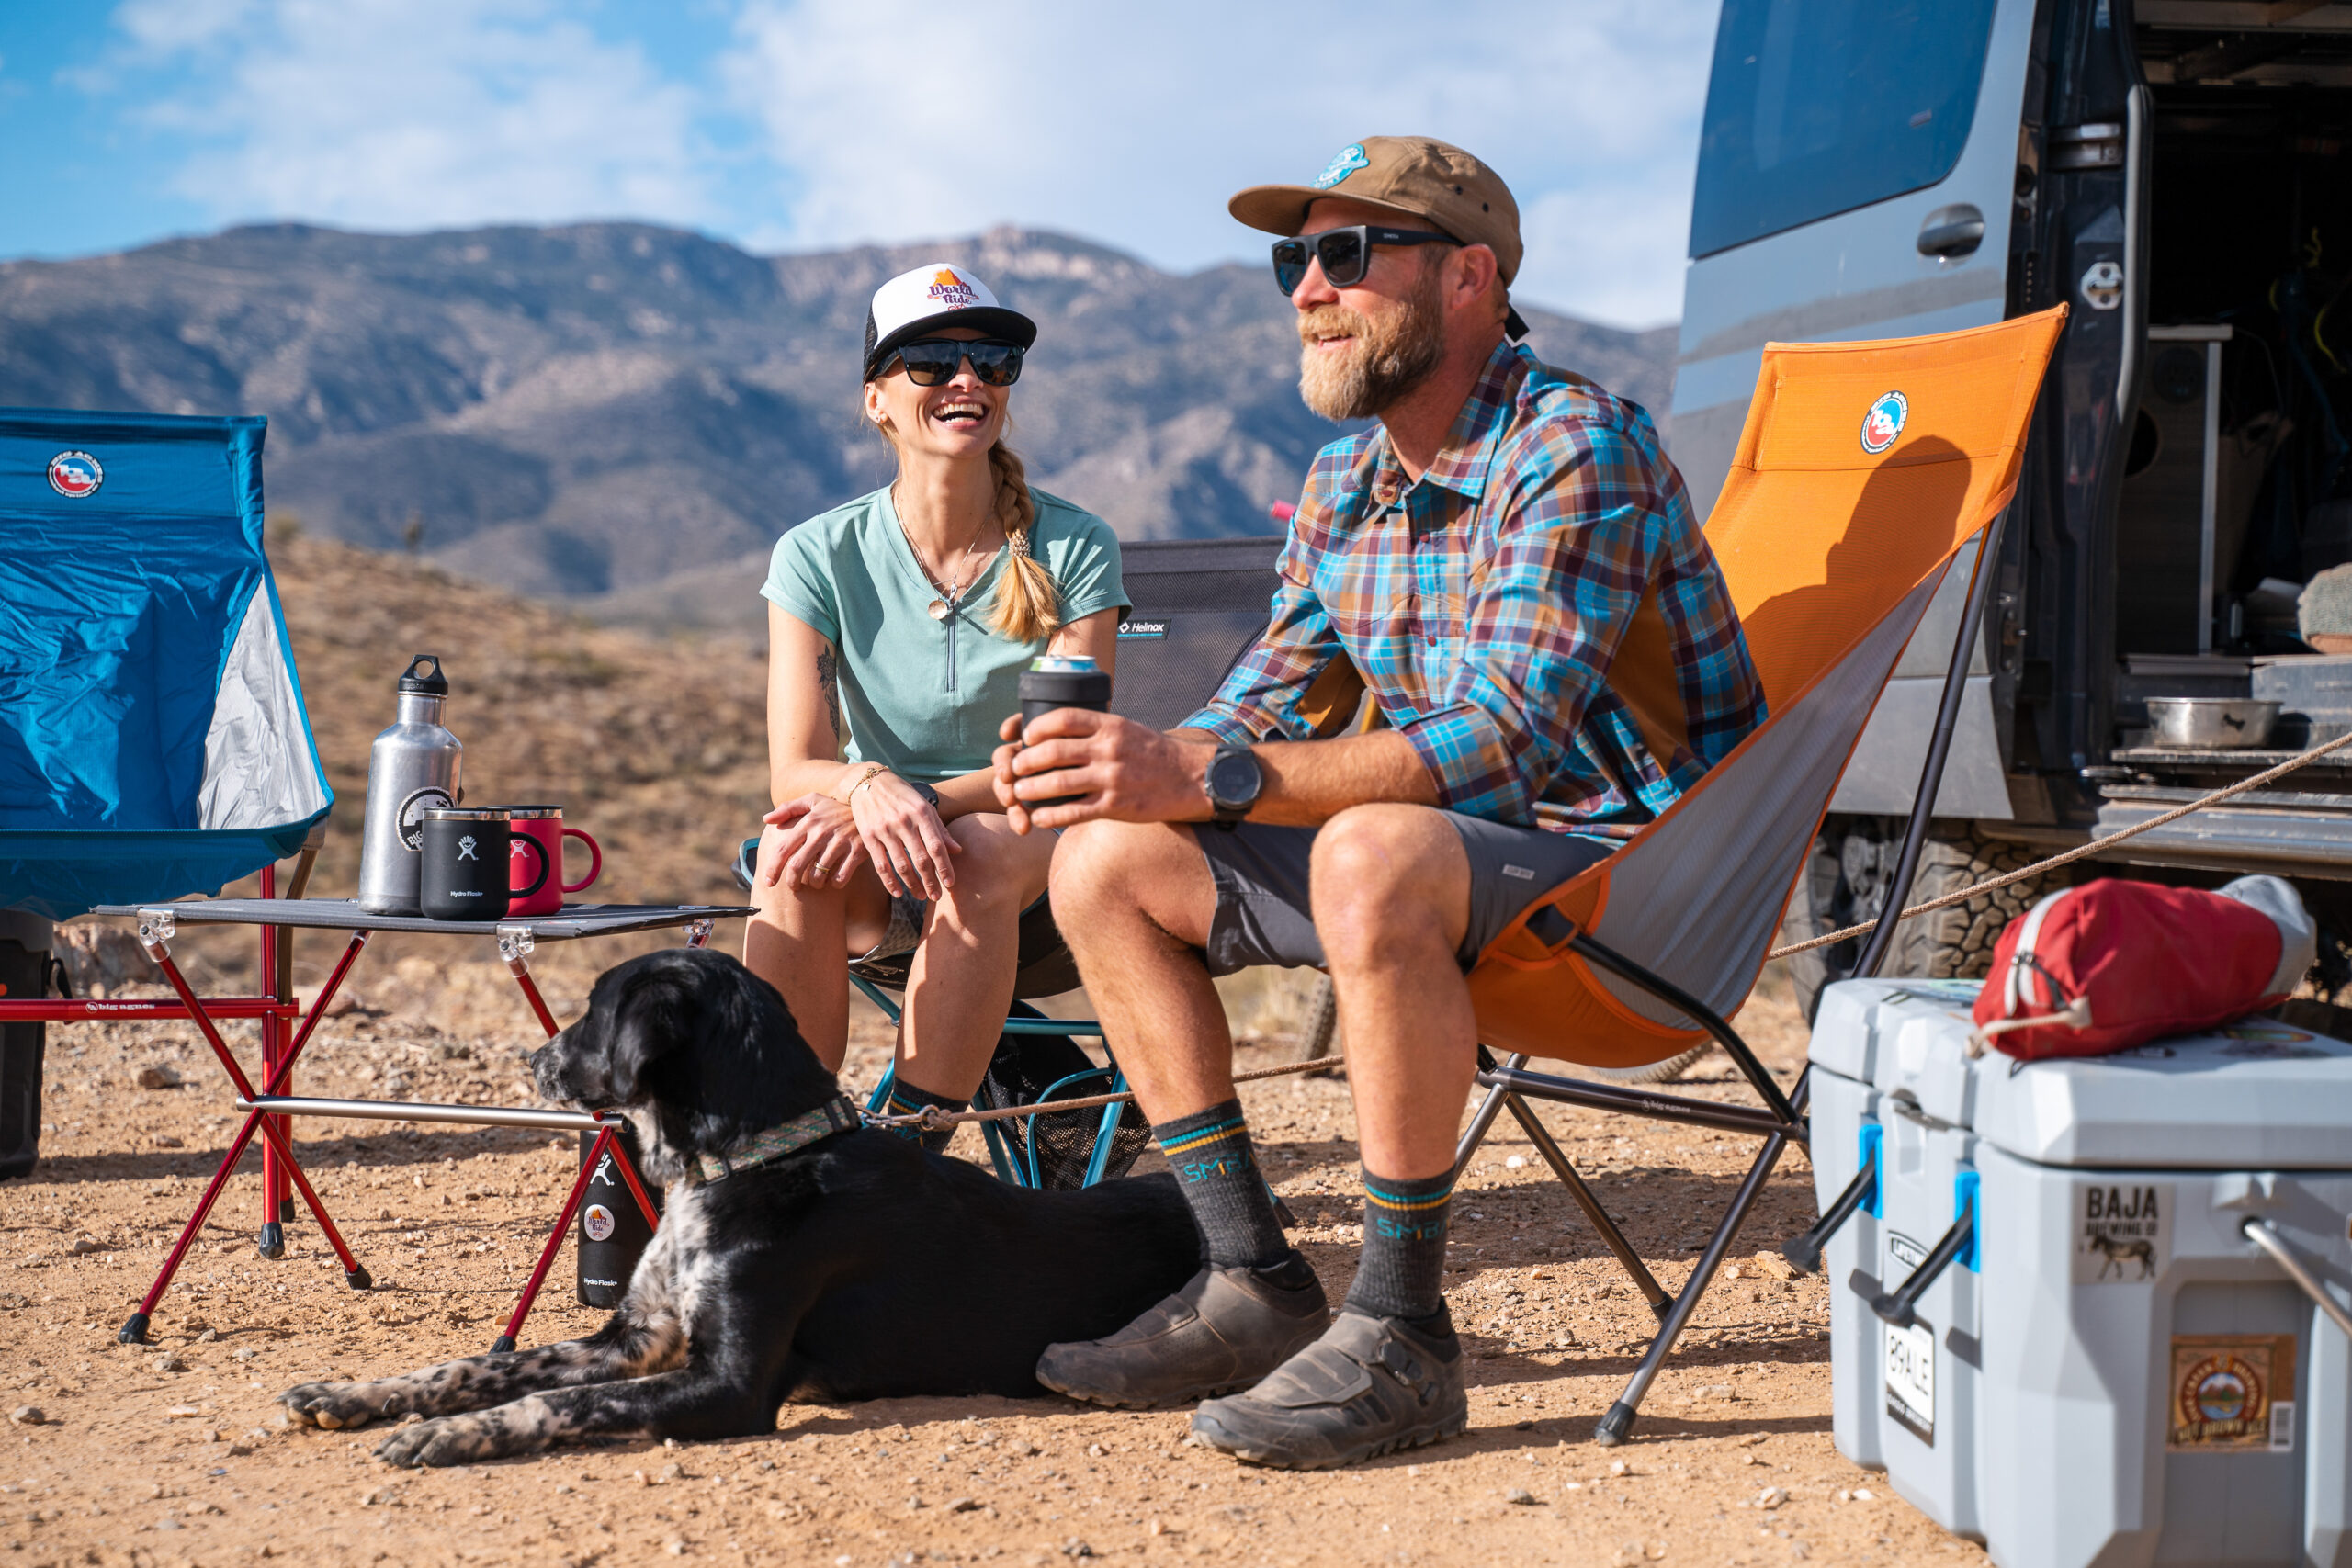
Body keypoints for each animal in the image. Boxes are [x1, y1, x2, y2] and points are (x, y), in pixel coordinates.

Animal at [278, 947, 1201, 1467]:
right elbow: (476, 1366)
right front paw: (361, 1393)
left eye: (592, 1011)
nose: (532, 1058)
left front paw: (446, 1434)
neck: (746, 1160)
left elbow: (553, 1402)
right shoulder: (633, 1336)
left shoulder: (730, 1385)